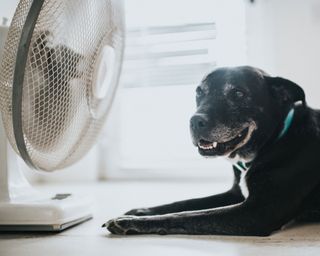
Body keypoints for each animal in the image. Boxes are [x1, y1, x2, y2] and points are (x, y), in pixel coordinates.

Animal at [103, 65, 320, 236]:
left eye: (238, 93)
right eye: (199, 92)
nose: (195, 121)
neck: (274, 140)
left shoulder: (257, 212)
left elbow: (186, 216)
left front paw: (130, 222)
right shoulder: (235, 194)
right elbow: (184, 204)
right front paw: (141, 211)